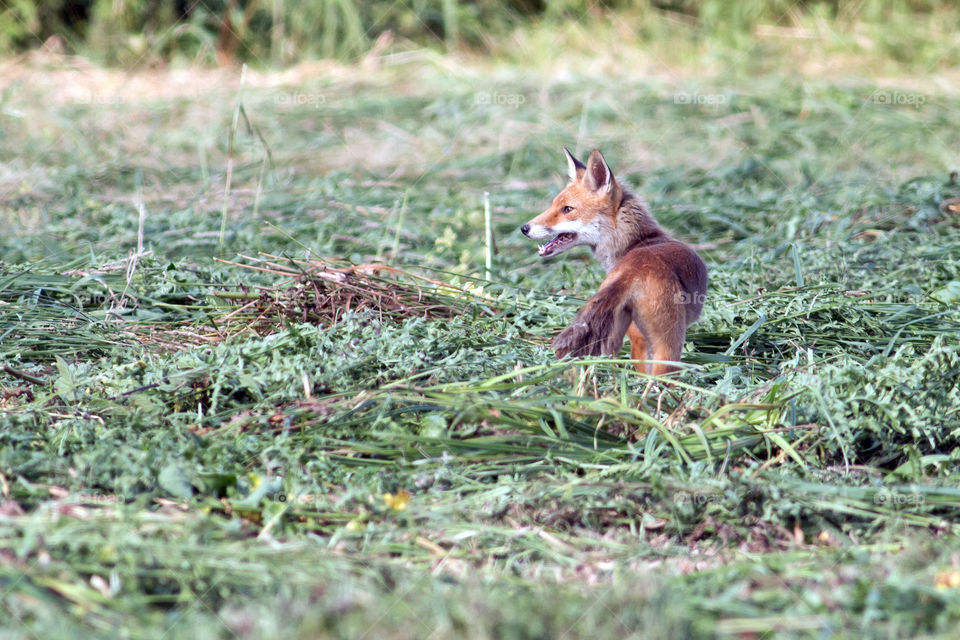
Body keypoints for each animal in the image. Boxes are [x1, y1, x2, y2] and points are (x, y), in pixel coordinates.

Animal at [520, 148, 707, 376]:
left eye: (567, 209)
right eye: (554, 205)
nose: (524, 228)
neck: (637, 243)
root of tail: (633, 271)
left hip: (616, 338)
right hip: (667, 344)